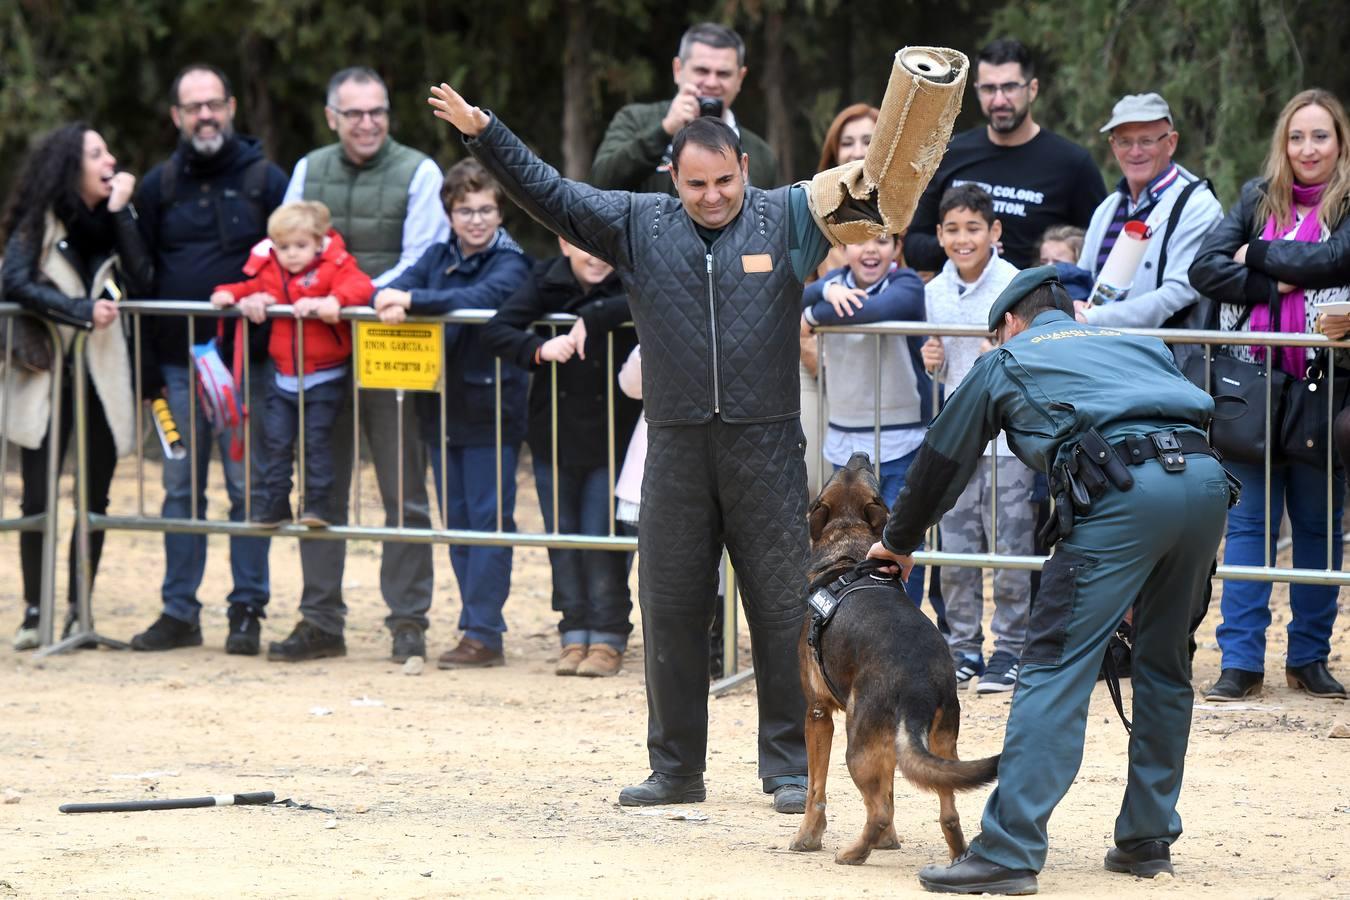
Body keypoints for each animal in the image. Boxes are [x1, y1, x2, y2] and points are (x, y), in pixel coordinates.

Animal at [788, 453, 999, 868]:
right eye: (854, 471)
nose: (861, 454)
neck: (848, 553)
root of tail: (918, 681)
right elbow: (887, 790)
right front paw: (889, 843)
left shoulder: (817, 714)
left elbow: (816, 790)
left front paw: (807, 837)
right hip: (937, 744)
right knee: (946, 812)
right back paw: (956, 859)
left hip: (858, 744)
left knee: (879, 812)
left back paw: (853, 854)